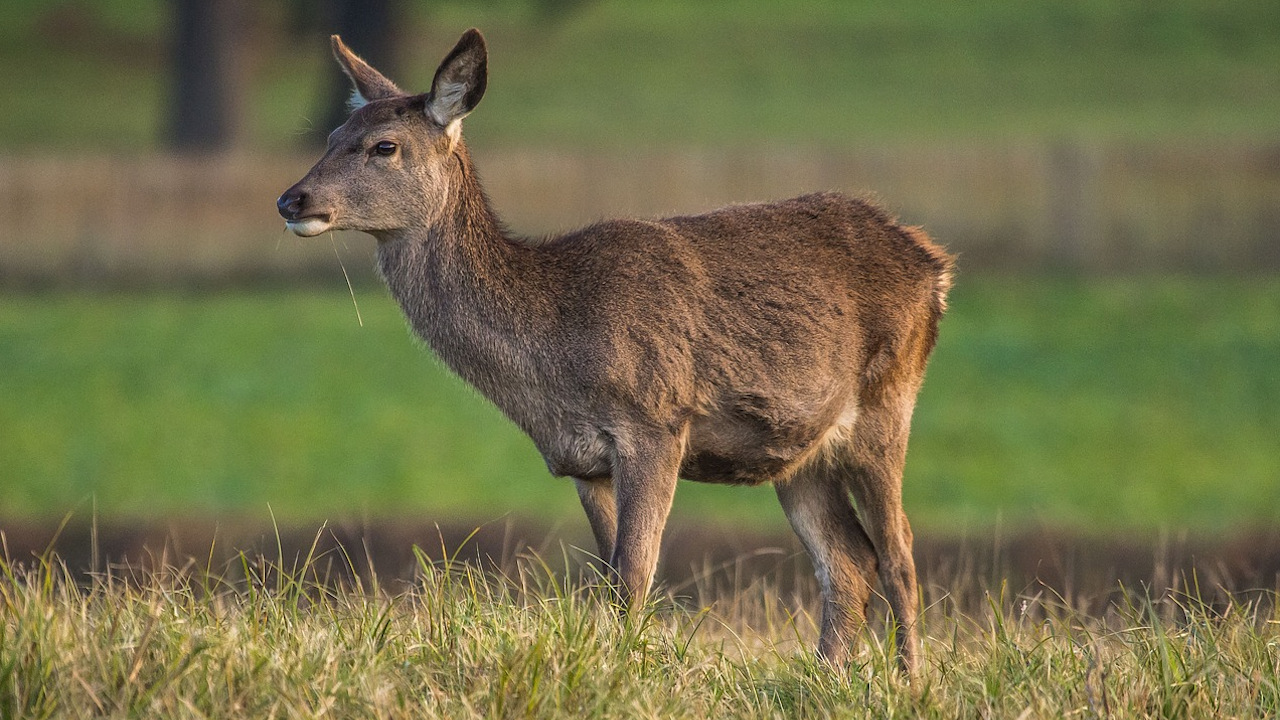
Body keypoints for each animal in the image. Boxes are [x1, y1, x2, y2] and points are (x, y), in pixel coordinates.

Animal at [277, 26, 952, 666]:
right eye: (332, 134)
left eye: (384, 146)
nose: (291, 199)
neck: (555, 346)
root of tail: (933, 264)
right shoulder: (584, 460)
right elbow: (608, 580)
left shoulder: (656, 422)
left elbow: (634, 577)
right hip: (799, 451)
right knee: (848, 561)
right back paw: (825, 677)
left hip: (889, 399)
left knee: (899, 552)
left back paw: (909, 683)